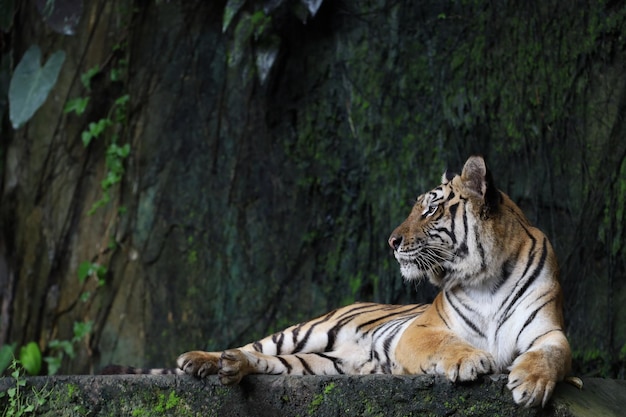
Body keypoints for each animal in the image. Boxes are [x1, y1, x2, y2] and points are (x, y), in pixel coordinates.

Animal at [117, 155, 572, 406]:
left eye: (429, 210)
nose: (391, 241)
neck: (486, 276)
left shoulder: (547, 332)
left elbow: (553, 356)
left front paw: (531, 384)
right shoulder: (422, 330)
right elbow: (447, 344)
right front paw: (470, 361)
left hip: (321, 364)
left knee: (264, 362)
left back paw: (232, 367)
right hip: (302, 332)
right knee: (253, 345)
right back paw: (200, 360)